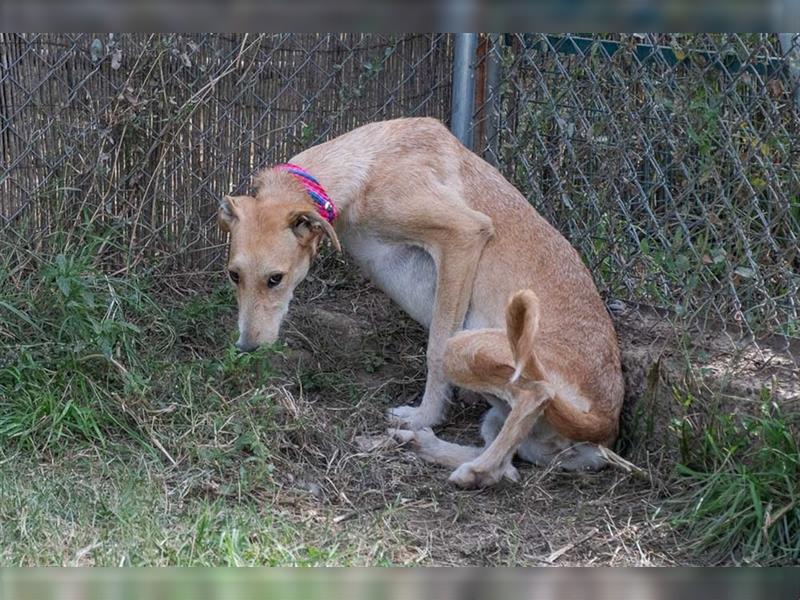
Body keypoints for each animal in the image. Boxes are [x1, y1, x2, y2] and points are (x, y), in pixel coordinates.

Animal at [219, 116, 624, 488]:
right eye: (234, 275)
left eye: (275, 279)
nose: (246, 348)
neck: (367, 168)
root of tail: (606, 422)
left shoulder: (463, 236)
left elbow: (433, 354)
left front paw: (424, 415)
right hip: (500, 415)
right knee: (508, 466)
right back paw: (423, 446)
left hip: (469, 349)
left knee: (533, 397)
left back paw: (469, 466)